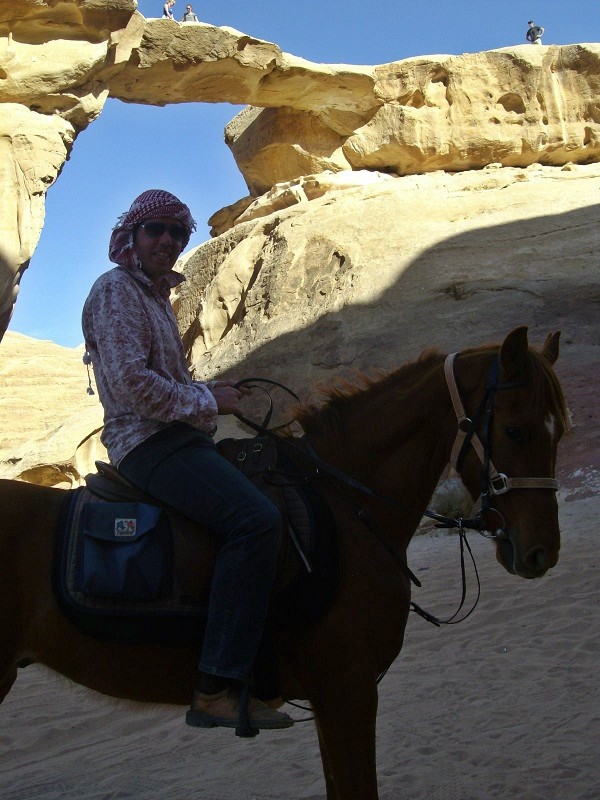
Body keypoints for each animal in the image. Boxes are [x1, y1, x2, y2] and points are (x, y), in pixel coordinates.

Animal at [1, 326, 568, 800]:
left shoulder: (332, 697)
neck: (345, 504)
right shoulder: (347, 689)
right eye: (515, 430)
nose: (541, 552)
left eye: (559, 431)